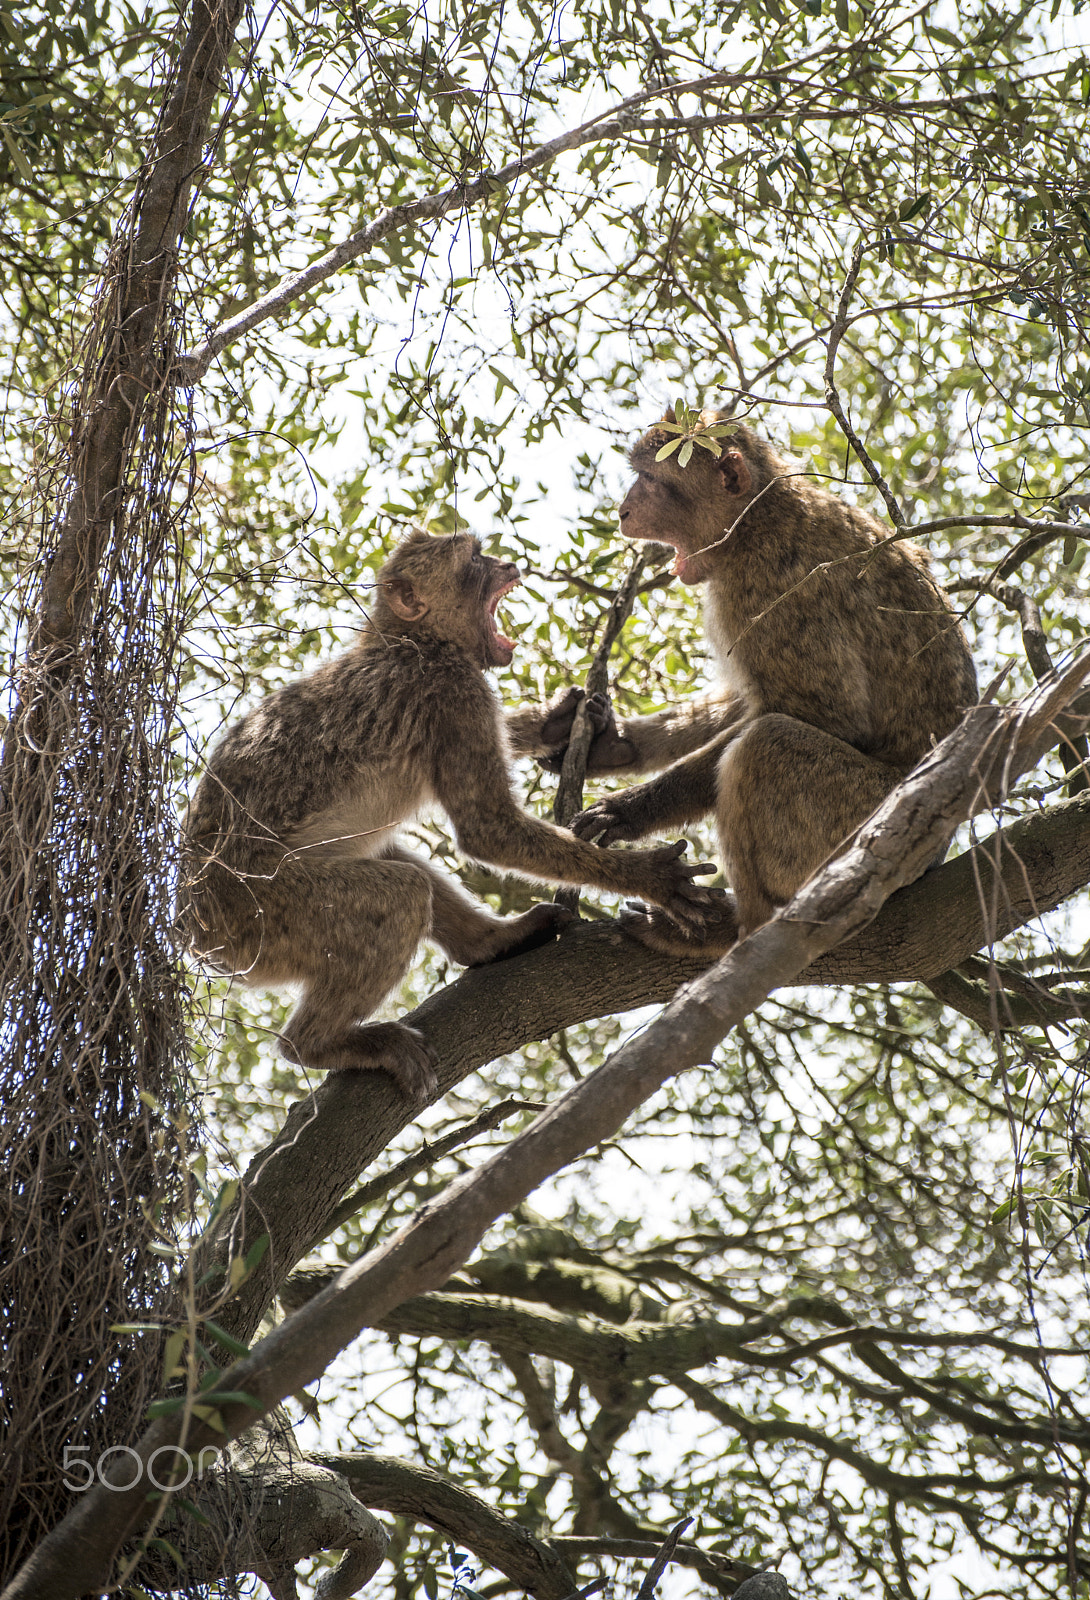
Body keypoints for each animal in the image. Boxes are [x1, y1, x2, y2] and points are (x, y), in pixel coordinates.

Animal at [180, 529, 716, 1101]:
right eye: (474, 558)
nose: (507, 564)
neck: (411, 641)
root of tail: (191, 928)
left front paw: (555, 722)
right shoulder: (456, 689)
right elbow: (489, 830)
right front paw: (649, 877)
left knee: (392, 860)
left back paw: (492, 941)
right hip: (260, 914)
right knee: (398, 893)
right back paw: (317, 1044)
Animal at [570, 416, 978, 948]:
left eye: (651, 480)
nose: (623, 513)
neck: (756, 516)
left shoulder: (768, 585)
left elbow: (819, 715)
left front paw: (631, 810)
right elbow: (747, 698)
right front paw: (614, 744)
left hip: (865, 831)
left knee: (766, 745)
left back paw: (735, 930)